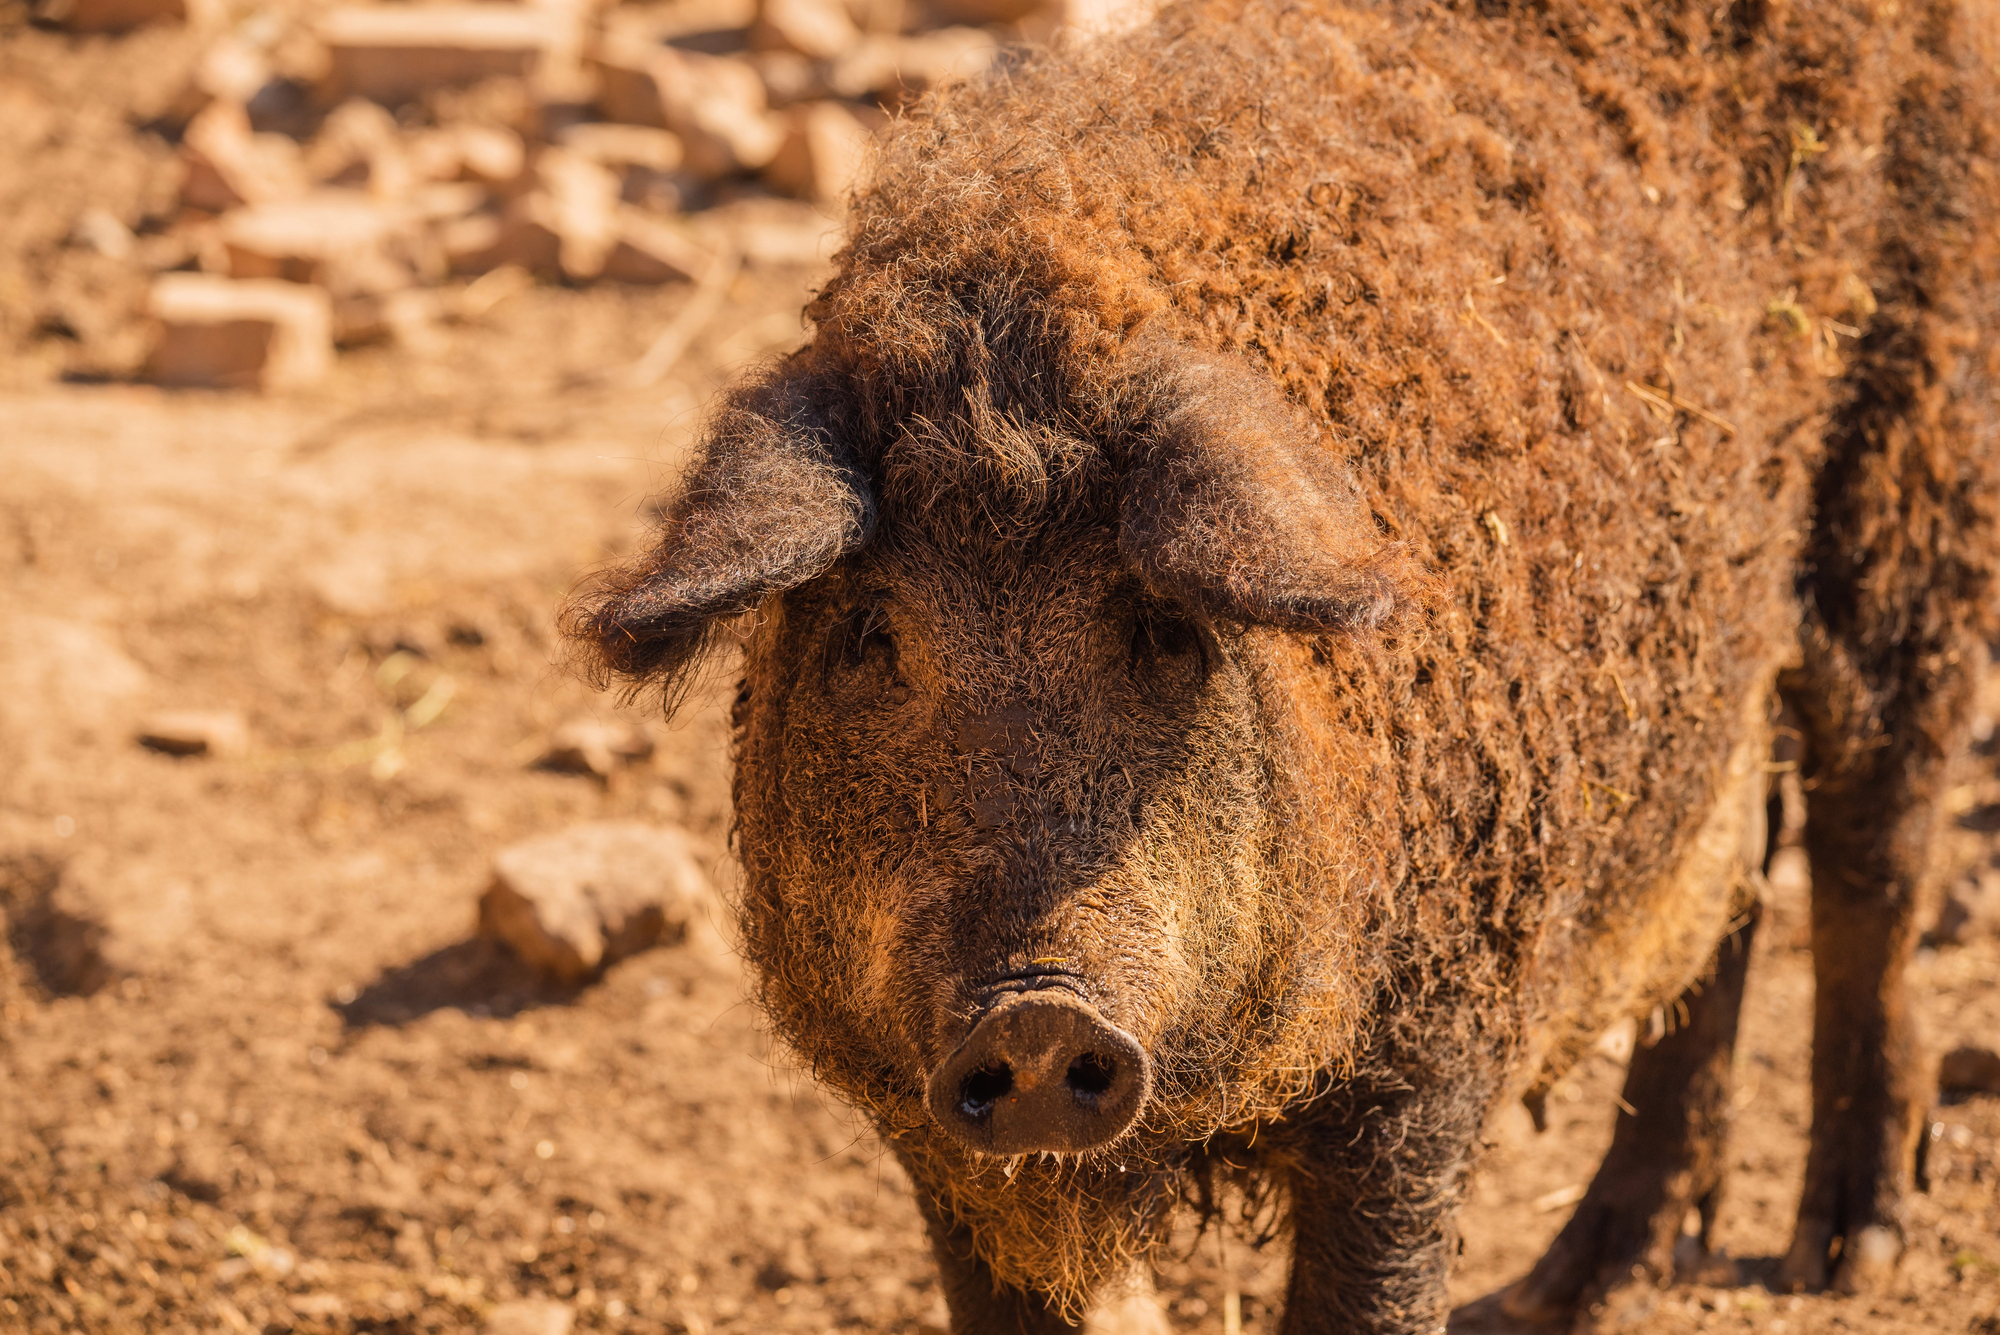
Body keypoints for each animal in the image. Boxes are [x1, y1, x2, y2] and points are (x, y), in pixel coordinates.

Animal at [563, 0, 2000, 1328]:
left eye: (1161, 627)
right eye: (872, 637)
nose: (1035, 1013)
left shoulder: (1428, 1047)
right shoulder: (934, 1138)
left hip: (1916, 479)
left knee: (1874, 852)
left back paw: (1843, 1253)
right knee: (1734, 871)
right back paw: (1571, 1284)